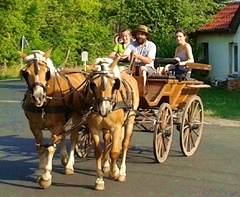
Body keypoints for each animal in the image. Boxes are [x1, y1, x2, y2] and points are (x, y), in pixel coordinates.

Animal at [18, 48, 86, 189]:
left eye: (46, 73)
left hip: (77, 116)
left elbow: (50, 148)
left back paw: (69, 165)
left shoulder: (56, 126)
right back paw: (64, 158)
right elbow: (40, 147)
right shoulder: (34, 126)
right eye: (26, 73)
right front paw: (41, 170)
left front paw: (46, 177)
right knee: (64, 134)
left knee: (73, 137)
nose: (38, 97)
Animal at [82, 57, 139, 191]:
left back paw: (121, 172)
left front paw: (115, 173)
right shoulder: (94, 128)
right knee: (108, 141)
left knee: (124, 144)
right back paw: (106, 165)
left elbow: (115, 151)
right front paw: (99, 180)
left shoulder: (117, 127)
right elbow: (98, 152)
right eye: (93, 84)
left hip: (130, 120)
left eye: (114, 84)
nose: (104, 110)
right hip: (107, 128)